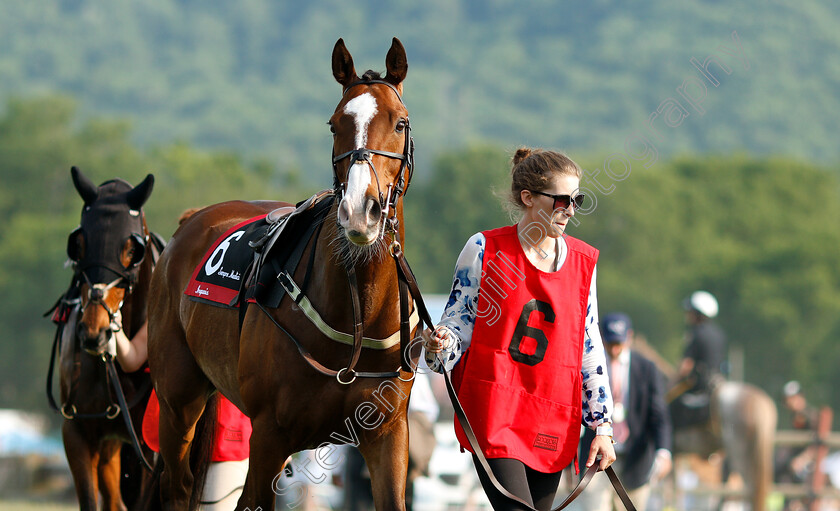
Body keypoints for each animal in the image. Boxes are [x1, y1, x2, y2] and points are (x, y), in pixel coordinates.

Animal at [148, 39, 420, 511]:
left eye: (400, 123)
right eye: (334, 125)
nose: (359, 211)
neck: (357, 313)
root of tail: (191, 221)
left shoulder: (387, 433)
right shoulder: (270, 435)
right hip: (178, 400)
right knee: (178, 486)